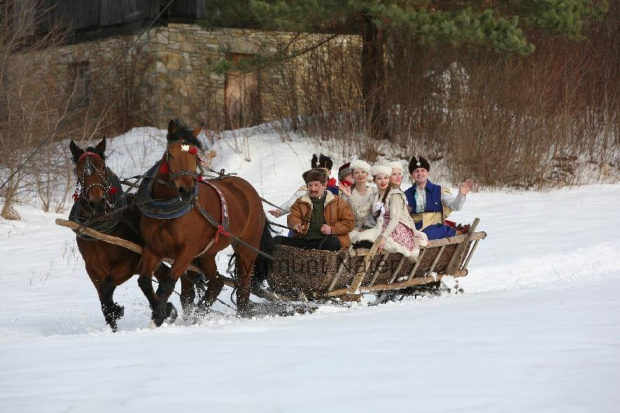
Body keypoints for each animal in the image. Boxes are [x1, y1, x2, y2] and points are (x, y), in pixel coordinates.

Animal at [70, 137, 201, 330]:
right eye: (79, 171)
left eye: (102, 167)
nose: (97, 202)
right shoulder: (92, 269)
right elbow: (104, 300)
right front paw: (114, 314)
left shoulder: (128, 263)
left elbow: (107, 289)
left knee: (185, 286)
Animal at [137, 118, 270, 326]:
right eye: (171, 154)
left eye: (195, 156)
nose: (186, 190)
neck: (166, 210)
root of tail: (249, 190)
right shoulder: (153, 248)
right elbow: (144, 281)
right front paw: (162, 312)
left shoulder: (187, 251)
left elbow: (167, 283)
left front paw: (159, 317)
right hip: (207, 254)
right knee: (216, 282)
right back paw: (199, 312)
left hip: (247, 245)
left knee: (243, 285)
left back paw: (238, 315)